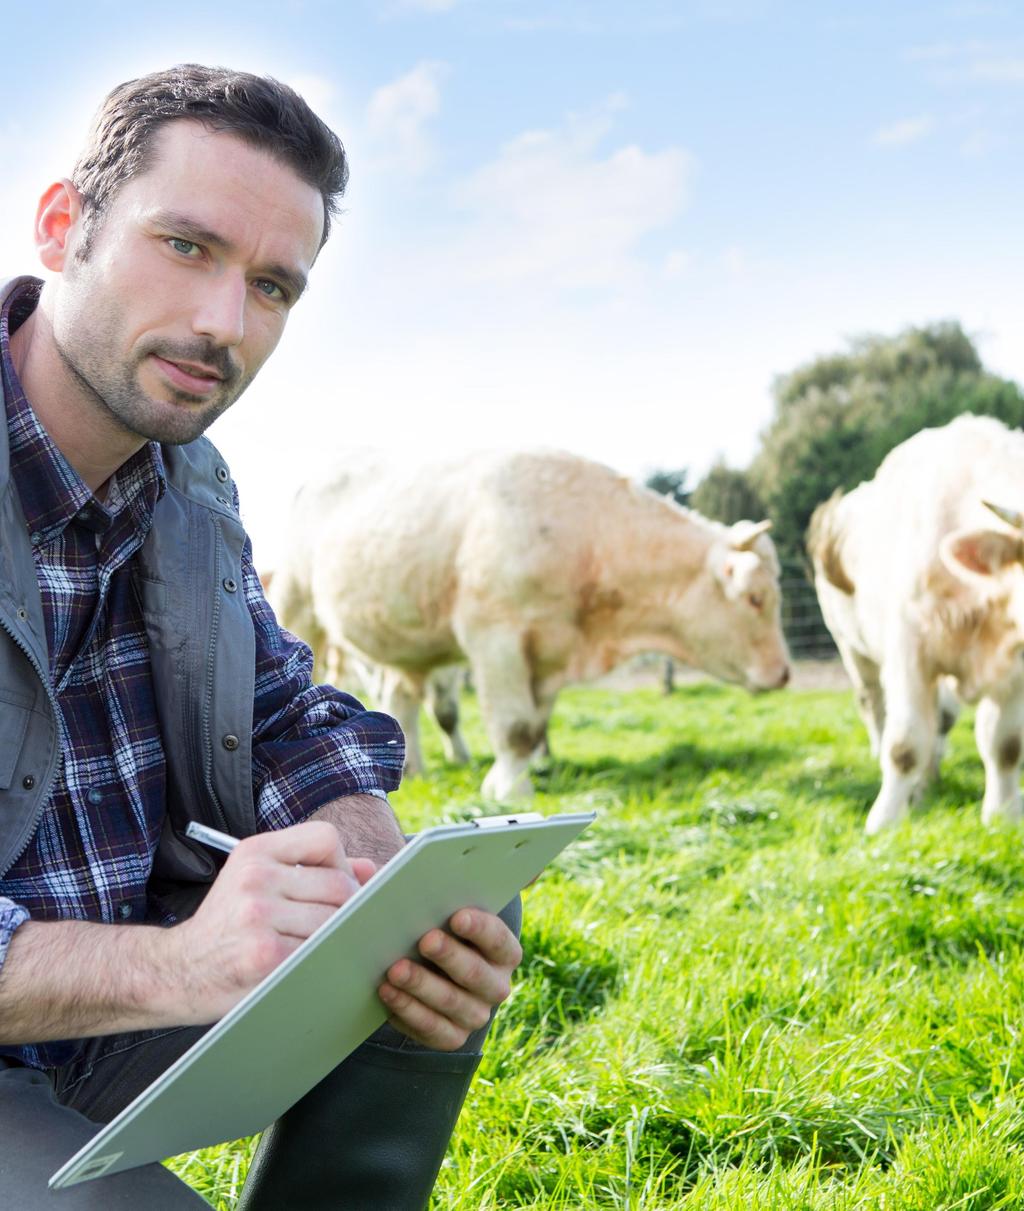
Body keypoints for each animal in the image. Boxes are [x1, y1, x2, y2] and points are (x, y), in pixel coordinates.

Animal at [272, 450, 794, 799]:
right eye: (755, 598)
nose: (785, 673)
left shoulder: (550, 652)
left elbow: (536, 725)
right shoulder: (495, 639)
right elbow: (516, 726)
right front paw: (509, 792)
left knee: (401, 703)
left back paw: (416, 769)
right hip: (299, 606)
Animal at [808, 416, 1024, 833]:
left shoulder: (1014, 671)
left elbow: (1004, 745)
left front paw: (1003, 814)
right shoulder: (909, 654)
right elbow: (905, 745)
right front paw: (885, 820)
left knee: (939, 720)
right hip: (852, 647)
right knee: (875, 707)